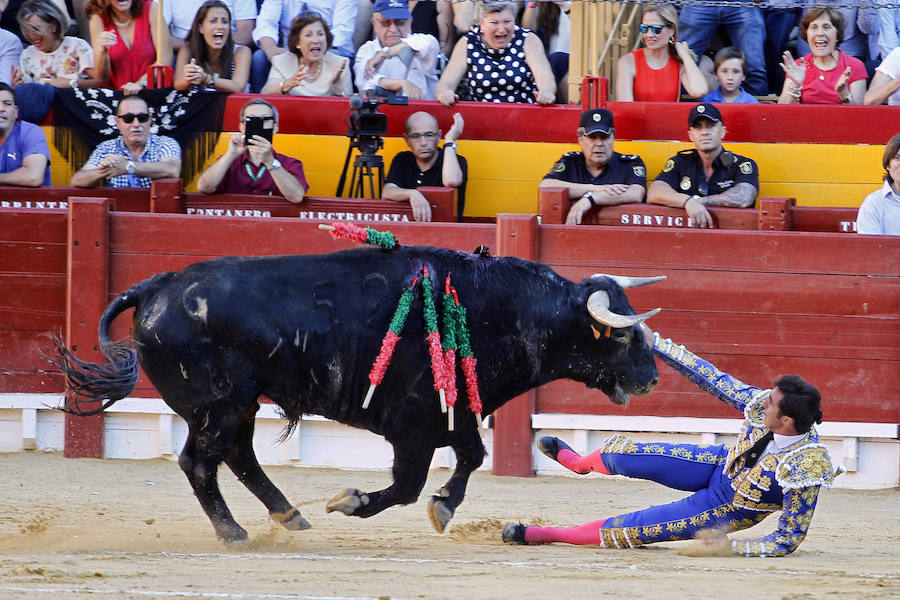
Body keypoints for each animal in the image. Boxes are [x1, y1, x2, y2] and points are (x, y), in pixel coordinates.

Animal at [54, 244, 660, 544]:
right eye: (622, 334)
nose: (652, 378)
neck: (495, 309)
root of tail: (156, 285)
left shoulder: (455, 416)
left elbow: (471, 457)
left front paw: (445, 507)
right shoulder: (413, 427)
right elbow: (409, 485)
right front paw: (354, 502)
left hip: (240, 404)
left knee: (238, 456)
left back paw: (289, 516)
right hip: (218, 405)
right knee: (201, 462)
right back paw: (234, 533)